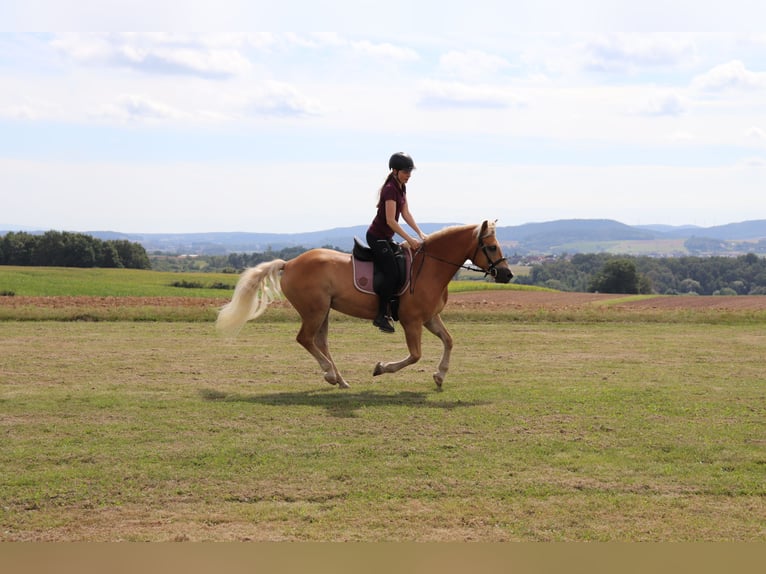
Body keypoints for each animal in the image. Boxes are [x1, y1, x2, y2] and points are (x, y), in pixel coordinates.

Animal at [218, 220, 516, 392]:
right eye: (491, 247)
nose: (507, 274)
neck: (431, 267)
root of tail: (289, 263)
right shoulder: (412, 321)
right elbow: (415, 355)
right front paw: (381, 368)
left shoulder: (430, 318)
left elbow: (449, 340)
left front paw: (440, 376)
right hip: (314, 310)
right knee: (305, 339)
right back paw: (330, 374)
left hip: (324, 311)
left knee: (320, 342)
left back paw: (339, 379)